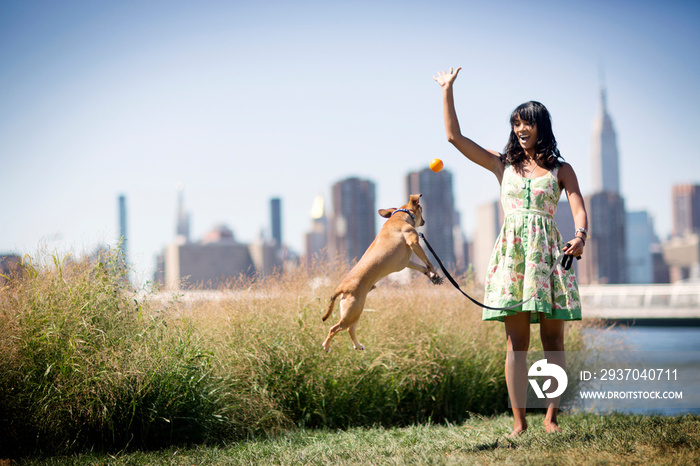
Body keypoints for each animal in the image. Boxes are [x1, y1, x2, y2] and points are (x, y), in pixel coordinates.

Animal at [322, 192, 440, 350]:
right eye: (421, 209)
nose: (424, 221)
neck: (400, 216)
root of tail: (342, 287)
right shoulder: (413, 242)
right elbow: (428, 261)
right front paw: (433, 271)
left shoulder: (406, 262)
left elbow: (422, 266)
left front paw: (433, 275)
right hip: (352, 313)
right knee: (334, 329)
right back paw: (326, 345)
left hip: (355, 311)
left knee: (350, 329)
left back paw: (358, 345)